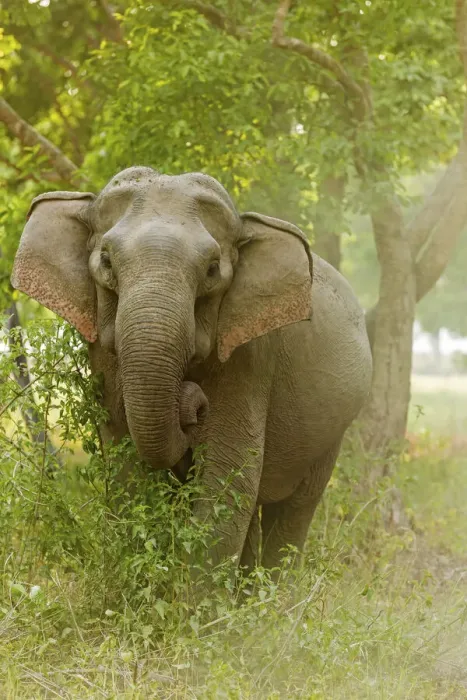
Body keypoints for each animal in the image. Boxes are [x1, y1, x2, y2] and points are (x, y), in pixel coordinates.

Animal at [11, 166, 372, 570]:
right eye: (106, 262)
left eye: (213, 270)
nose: (192, 403)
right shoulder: (102, 357)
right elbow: (125, 467)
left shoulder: (249, 358)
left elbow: (227, 477)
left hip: (333, 430)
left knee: (295, 508)